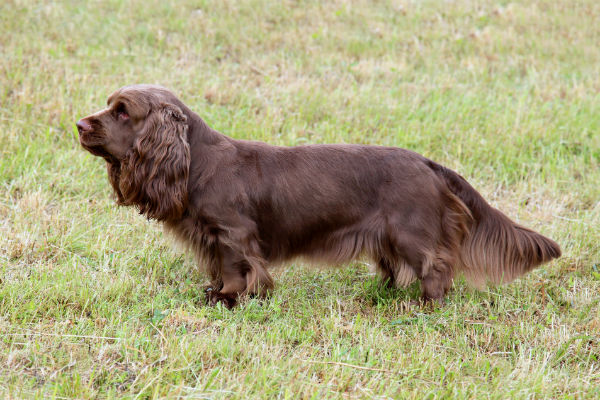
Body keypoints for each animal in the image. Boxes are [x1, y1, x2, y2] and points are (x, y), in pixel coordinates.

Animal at [76, 86, 564, 308]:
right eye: (109, 106)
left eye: (122, 112)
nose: (79, 124)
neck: (197, 162)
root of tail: (429, 163)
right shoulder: (210, 237)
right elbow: (217, 268)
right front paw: (216, 291)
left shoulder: (233, 234)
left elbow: (236, 269)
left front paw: (229, 298)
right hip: (388, 237)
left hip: (411, 231)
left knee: (437, 265)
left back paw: (426, 305)